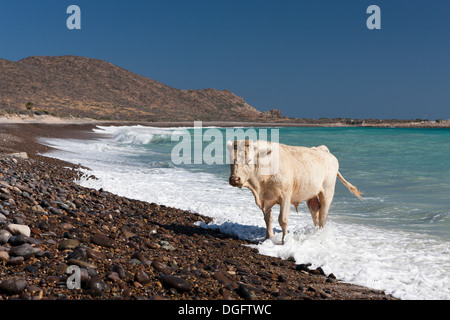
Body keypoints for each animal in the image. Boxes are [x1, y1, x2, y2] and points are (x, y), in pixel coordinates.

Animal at [225, 139, 362, 242]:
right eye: (231, 160)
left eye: (249, 160)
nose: (234, 179)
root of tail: (322, 149)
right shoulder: (264, 198)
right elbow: (268, 219)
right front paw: (268, 238)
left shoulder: (285, 196)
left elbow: (283, 220)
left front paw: (284, 241)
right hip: (311, 194)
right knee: (315, 212)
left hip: (327, 191)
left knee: (323, 215)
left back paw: (321, 235)